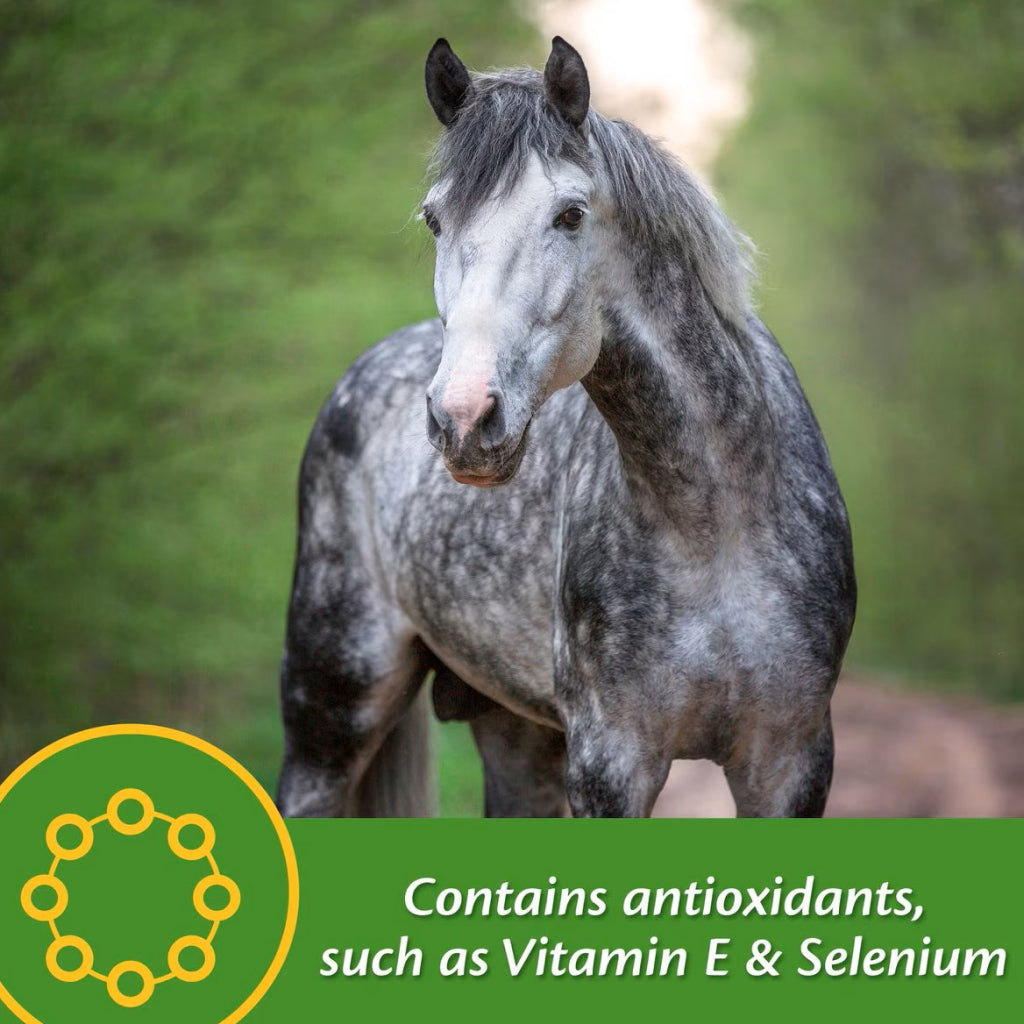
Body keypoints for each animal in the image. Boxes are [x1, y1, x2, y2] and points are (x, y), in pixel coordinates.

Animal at [275, 37, 856, 818]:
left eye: (571, 215)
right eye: (434, 219)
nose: (463, 418)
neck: (717, 527)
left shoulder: (790, 763)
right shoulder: (611, 764)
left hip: (515, 739)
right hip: (329, 717)